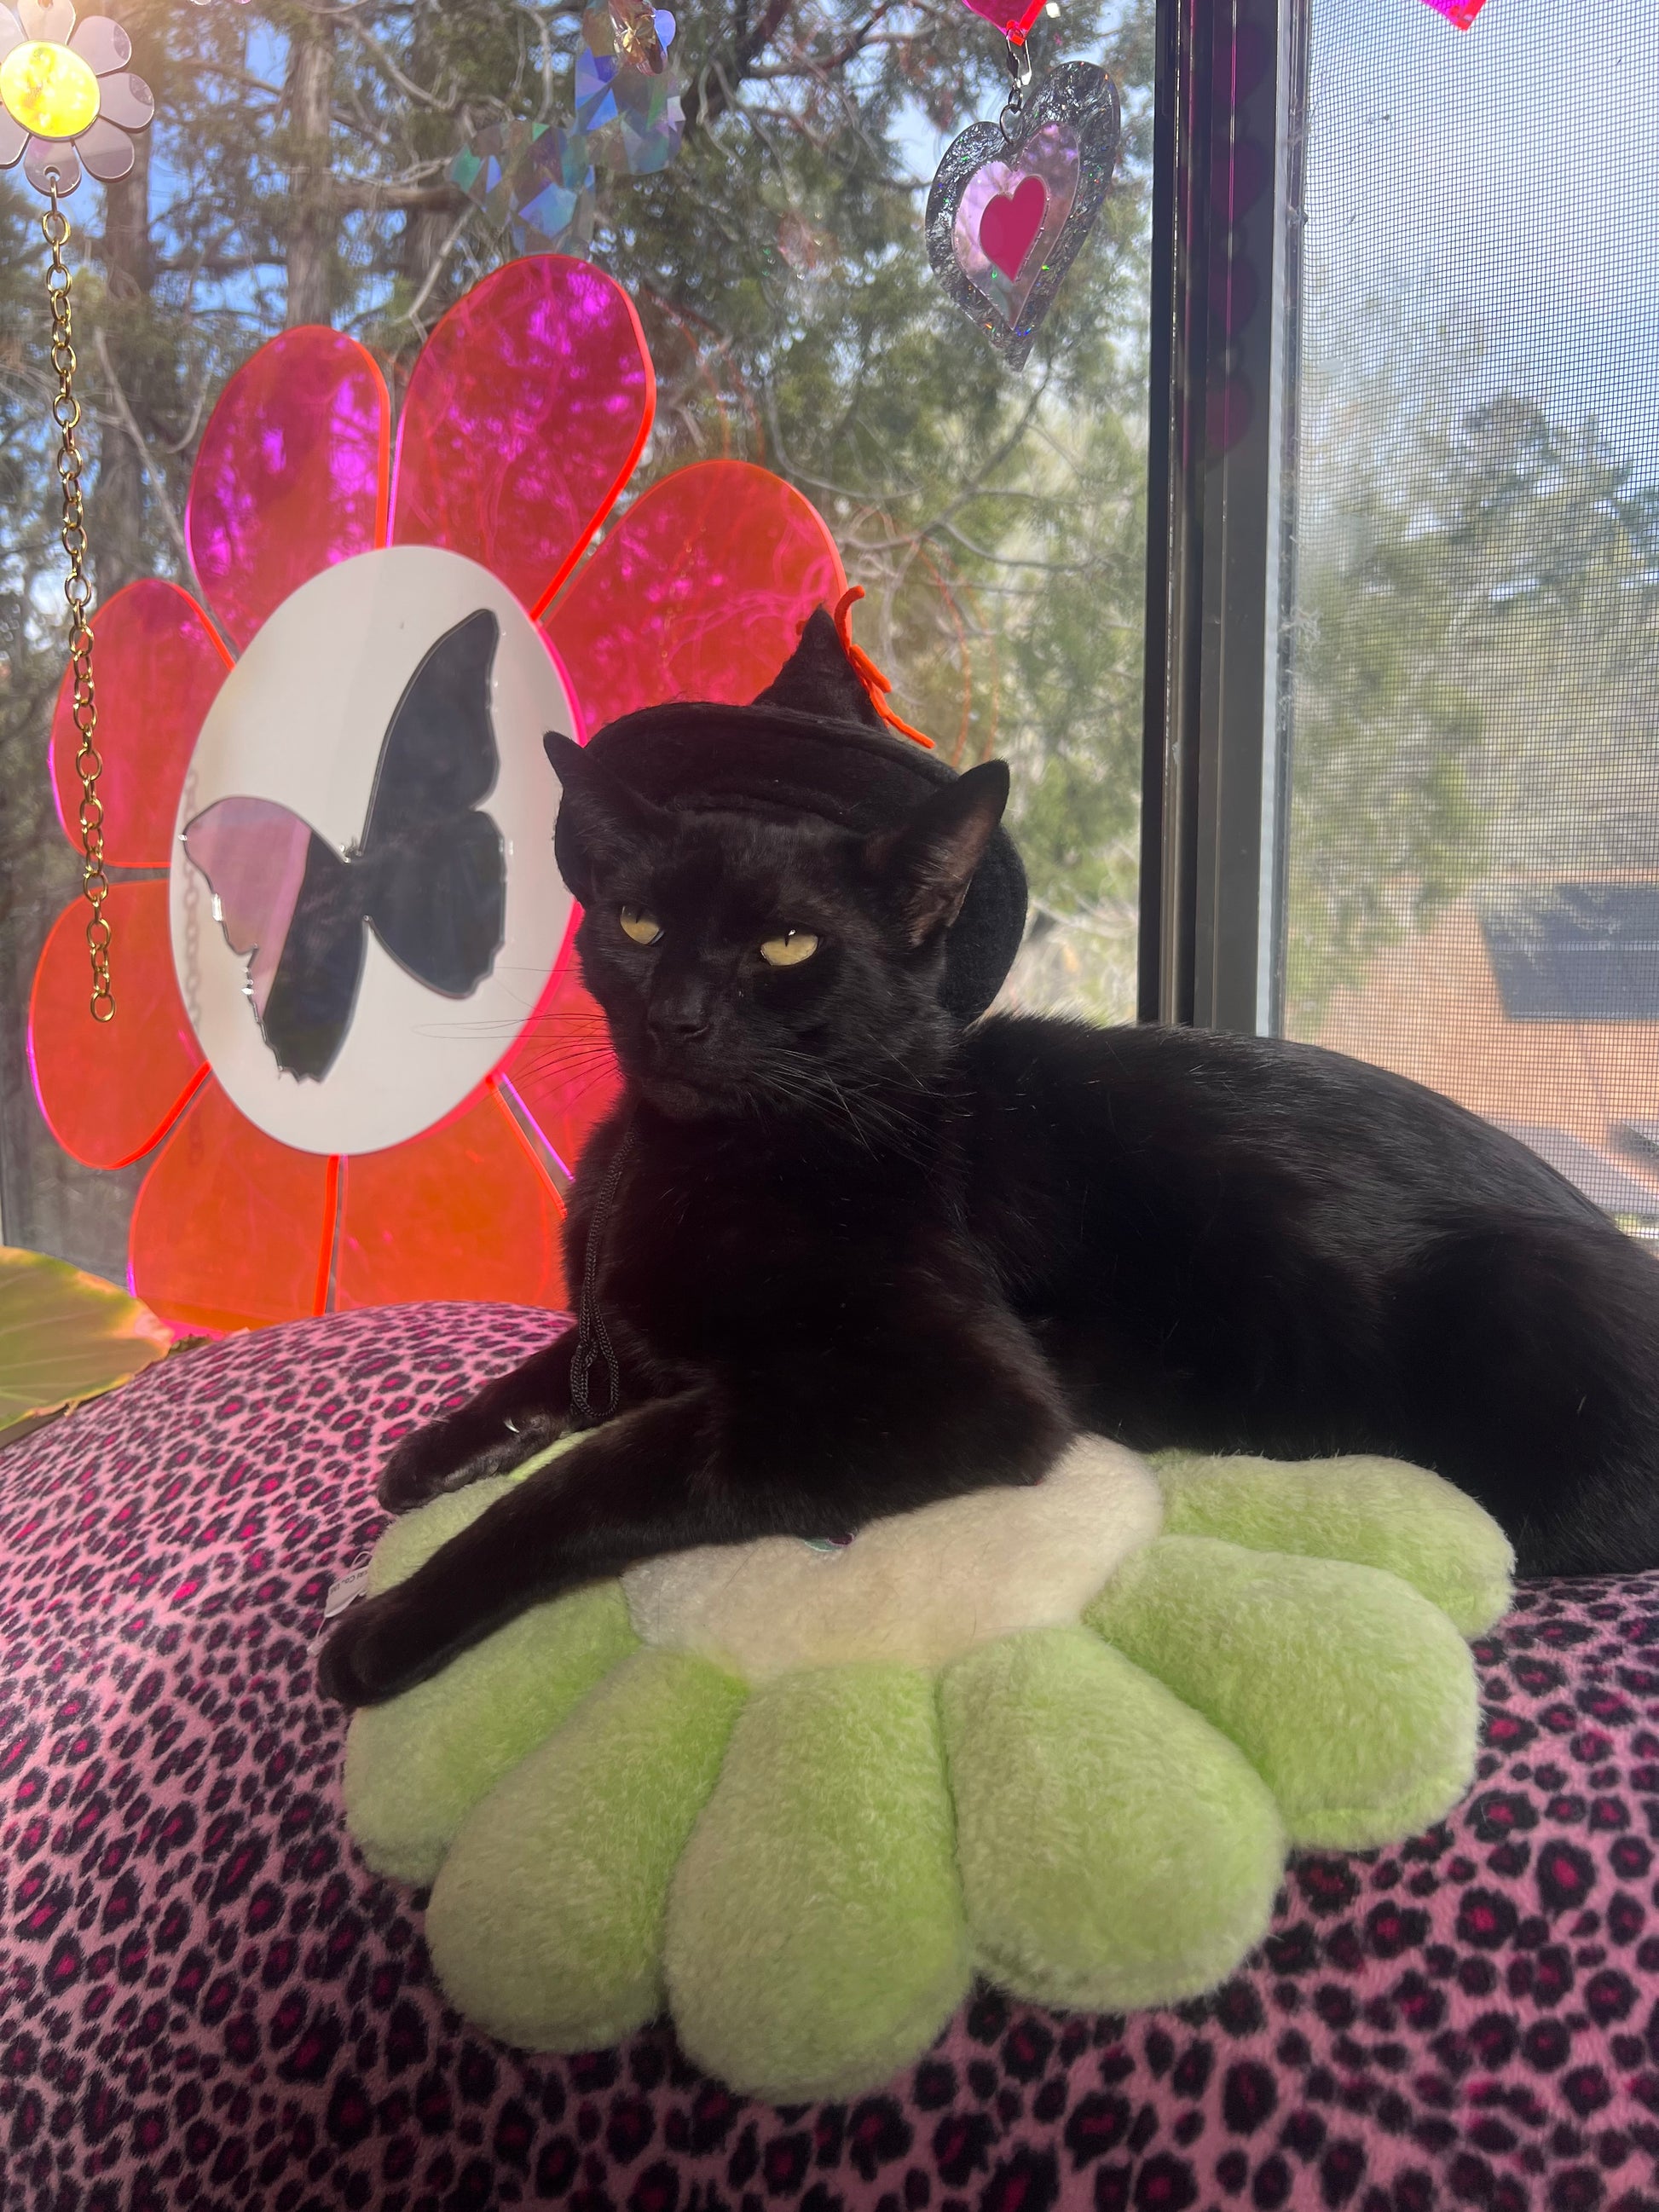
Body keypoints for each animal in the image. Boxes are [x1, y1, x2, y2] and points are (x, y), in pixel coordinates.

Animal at [317, 624, 1659, 1710]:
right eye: (637, 925)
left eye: (787, 943)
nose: (678, 1016)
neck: (689, 1149)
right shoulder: (624, 1328)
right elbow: (562, 1366)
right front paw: (435, 1452)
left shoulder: (944, 1389)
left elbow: (607, 1472)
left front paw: (393, 1623)